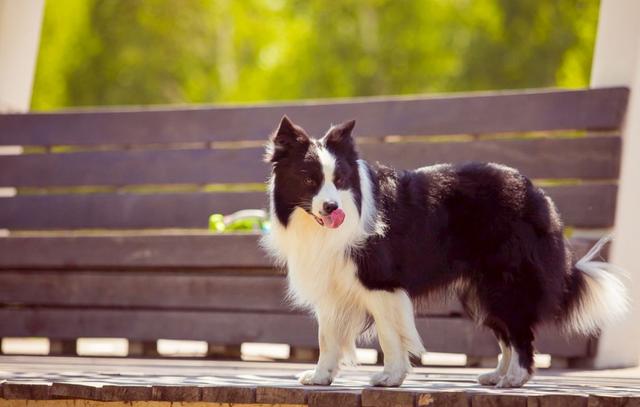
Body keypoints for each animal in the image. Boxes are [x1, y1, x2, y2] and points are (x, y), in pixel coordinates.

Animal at [262, 115, 632, 388]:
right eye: (309, 180)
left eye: (339, 180)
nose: (332, 208)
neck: (318, 228)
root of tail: (537, 193)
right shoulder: (331, 284)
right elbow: (327, 336)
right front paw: (320, 377)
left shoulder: (381, 283)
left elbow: (389, 334)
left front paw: (390, 377)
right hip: (481, 290)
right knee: (505, 334)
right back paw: (496, 375)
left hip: (505, 281)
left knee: (520, 333)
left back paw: (514, 378)